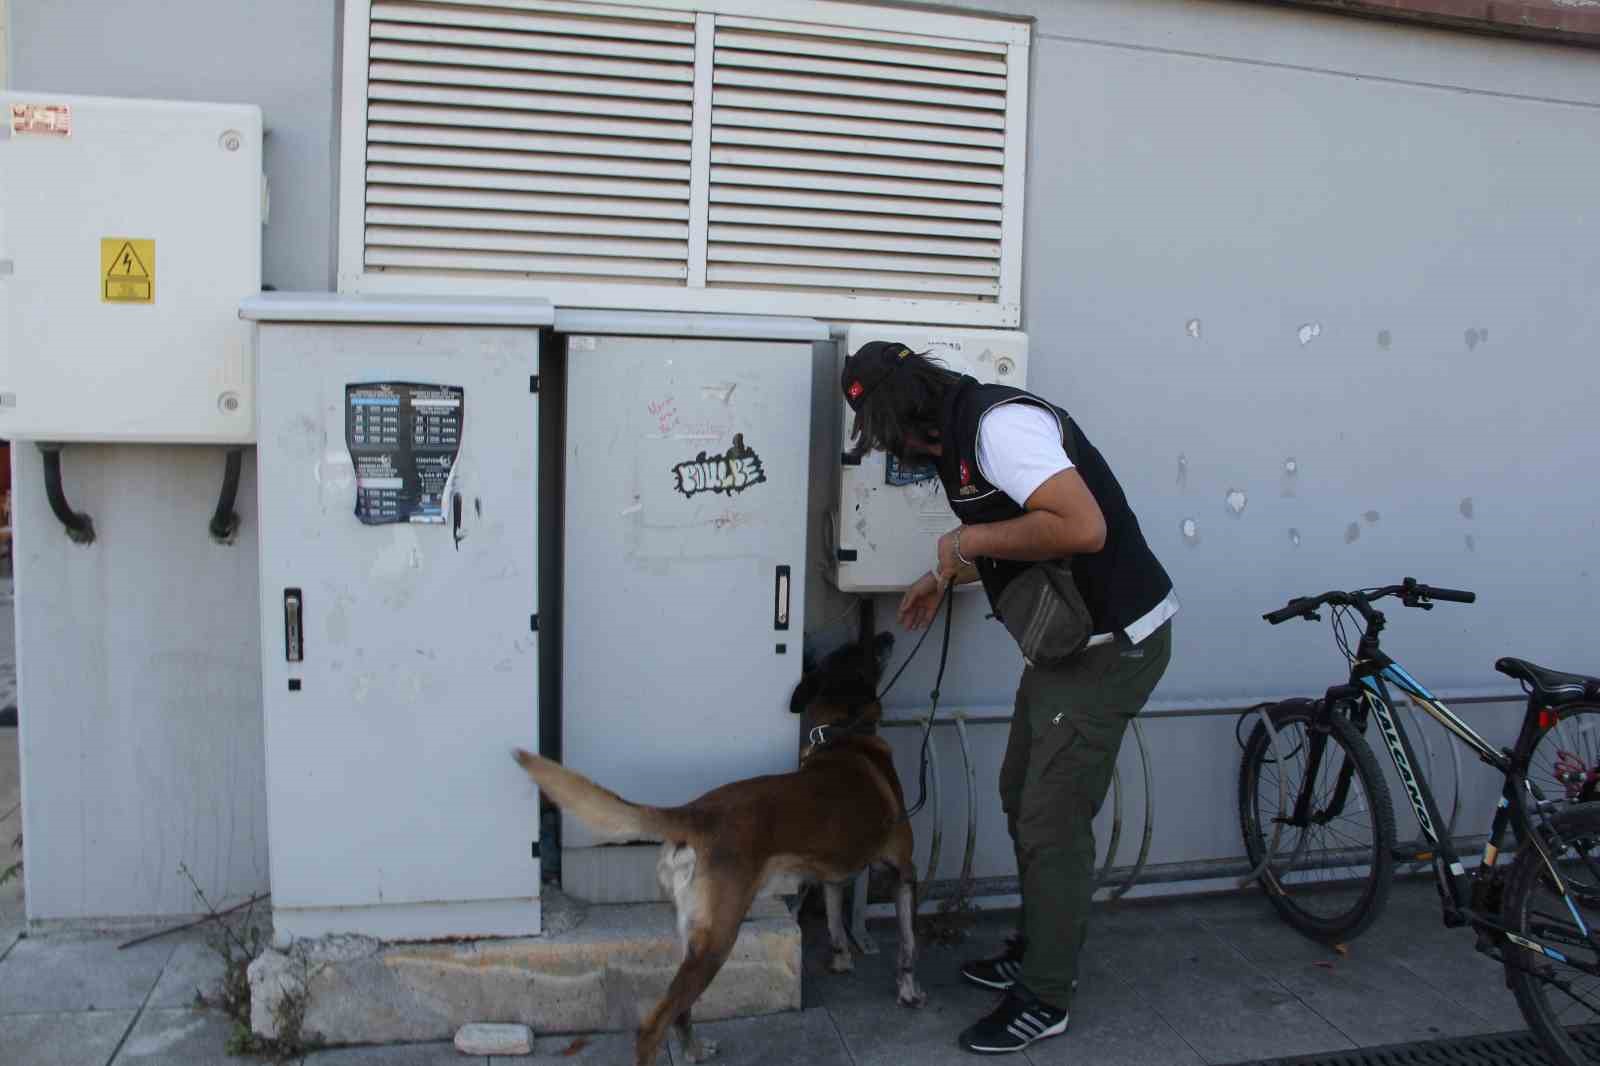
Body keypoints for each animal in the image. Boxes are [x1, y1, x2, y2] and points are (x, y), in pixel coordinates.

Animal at [512, 630, 928, 1062]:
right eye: (867, 650)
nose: (888, 633)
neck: (843, 737)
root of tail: (693, 812)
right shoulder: (905, 870)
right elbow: (908, 942)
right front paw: (909, 991)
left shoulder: (831, 874)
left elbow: (833, 921)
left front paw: (843, 958)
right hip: (720, 938)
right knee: (653, 1025)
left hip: (694, 935)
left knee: (680, 1010)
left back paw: (694, 1050)